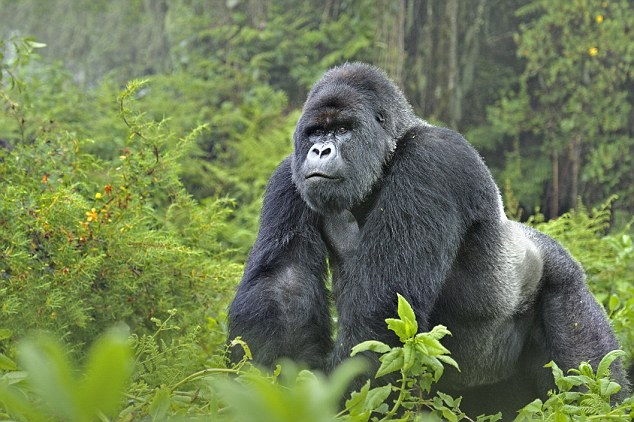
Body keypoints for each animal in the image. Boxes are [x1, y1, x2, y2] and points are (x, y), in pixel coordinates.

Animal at [227, 61, 628, 416]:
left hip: (566, 286)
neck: (389, 154)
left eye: (342, 130)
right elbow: (283, 287)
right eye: (314, 133)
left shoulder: (432, 160)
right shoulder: (288, 175)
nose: (320, 150)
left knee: (589, 373)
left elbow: (382, 308)